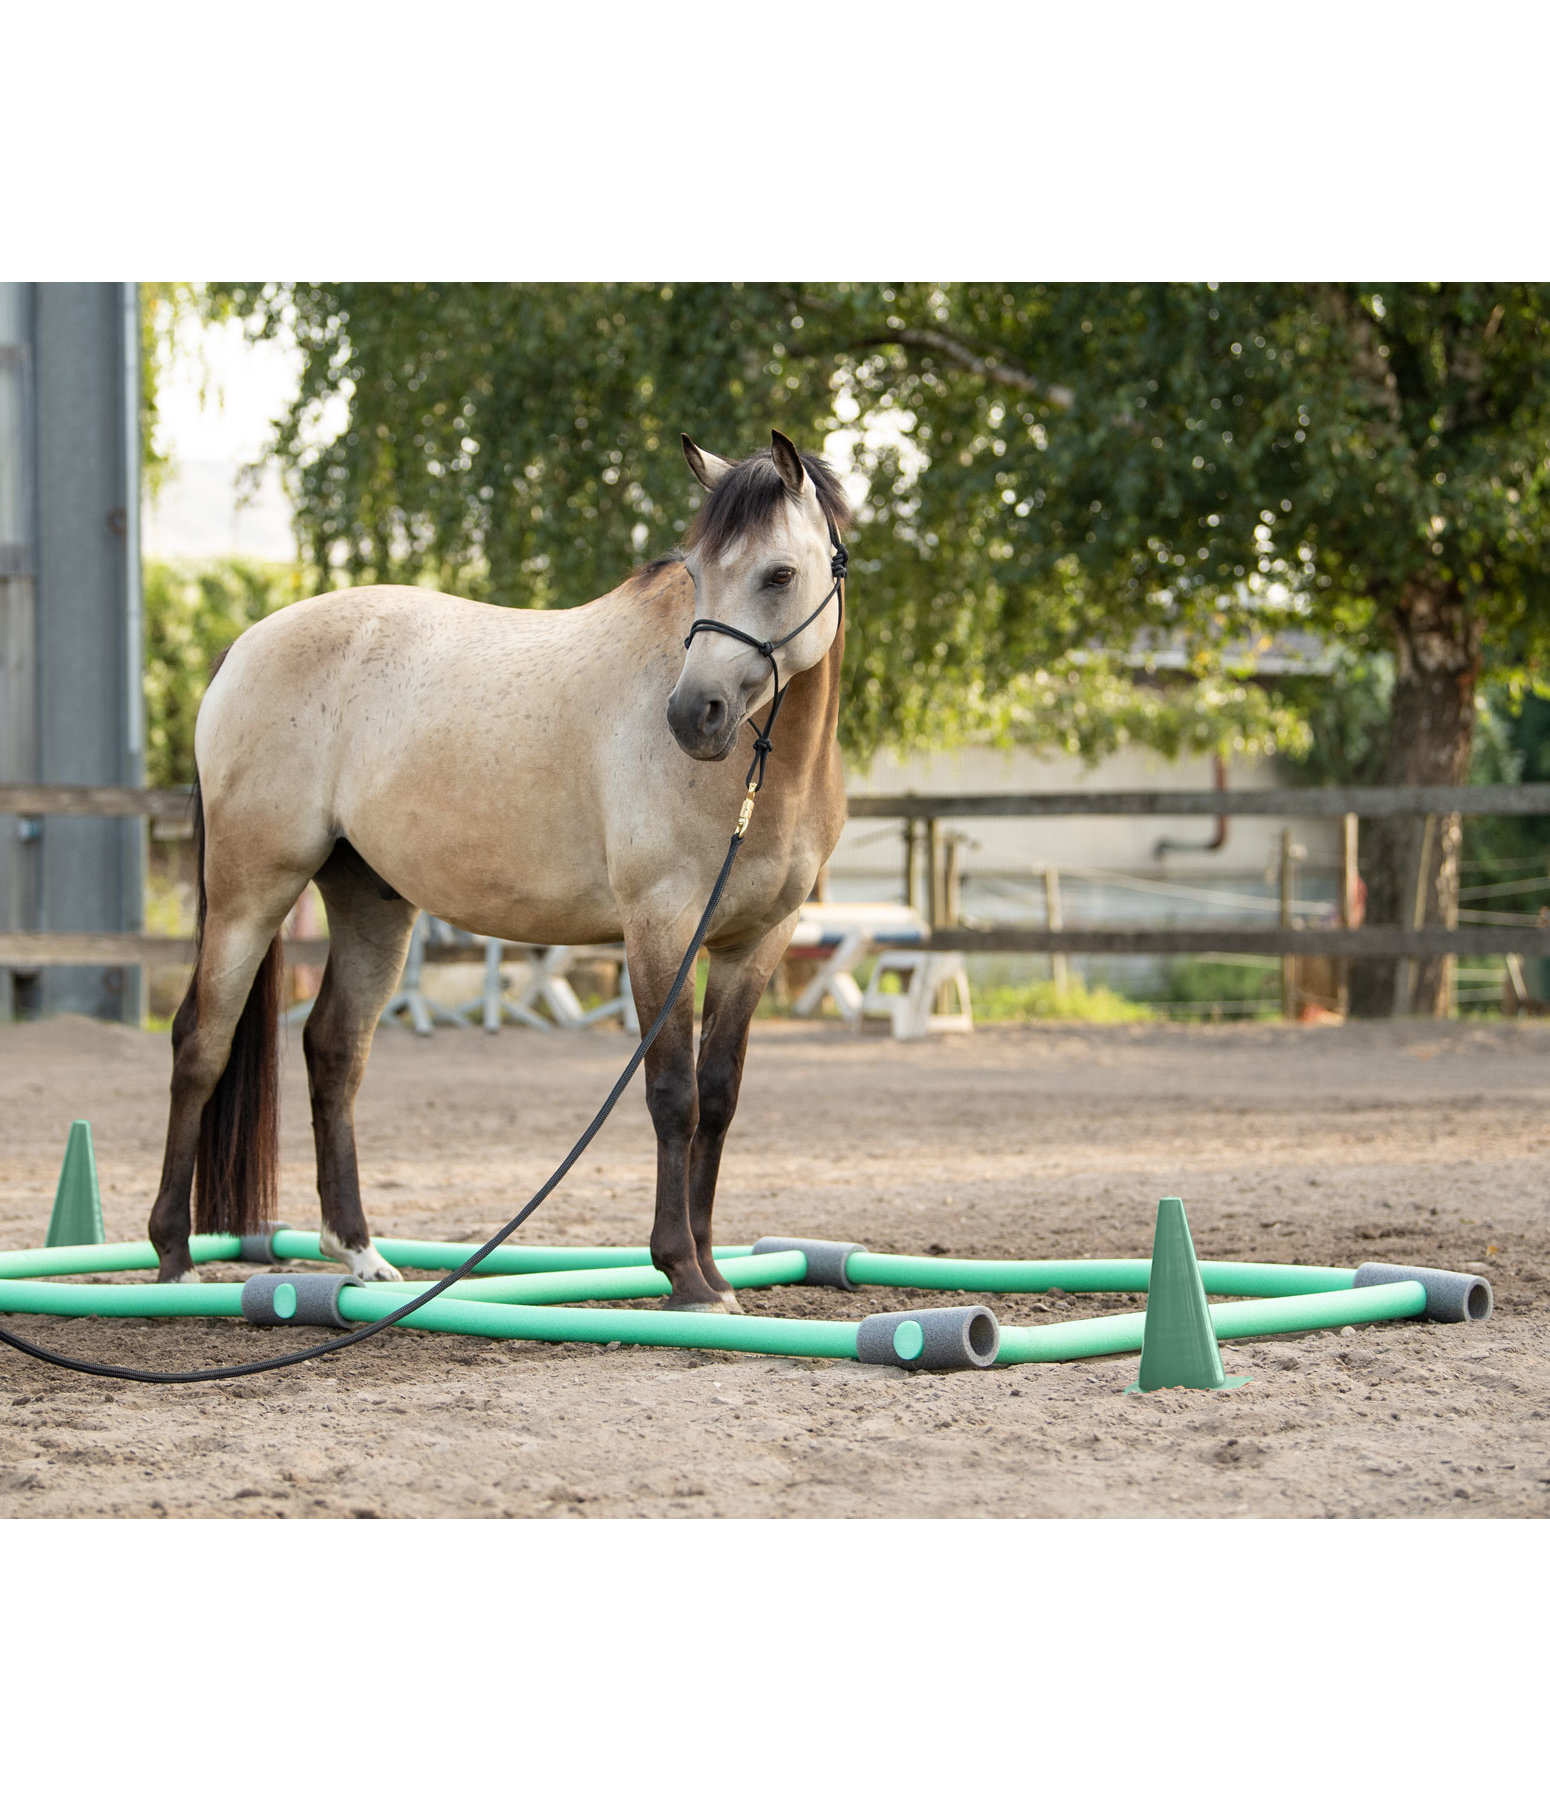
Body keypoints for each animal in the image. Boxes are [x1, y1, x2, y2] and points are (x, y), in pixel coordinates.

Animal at [149, 428, 853, 1317]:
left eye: (779, 574)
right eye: (693, 570)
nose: (694, 716)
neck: (762, 774)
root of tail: (244, 646)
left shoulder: (758, 941)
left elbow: (719, 1098)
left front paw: (717, 1276)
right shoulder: (662, 927)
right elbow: (673, 1095)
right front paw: (683, 1276)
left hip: (371, 901)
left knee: (334, 1048)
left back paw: (360, 1254)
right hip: (251, 891)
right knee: (199, 1044)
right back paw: (174, 1255)